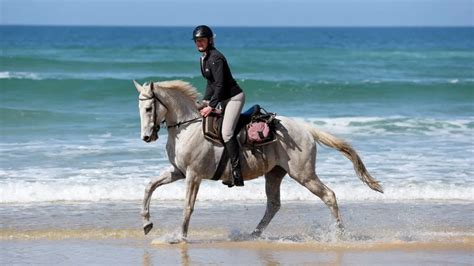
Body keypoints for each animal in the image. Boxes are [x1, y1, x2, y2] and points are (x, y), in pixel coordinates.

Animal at [132, 79, 382, 241]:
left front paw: (180, 236)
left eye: (148, 108)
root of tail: (306, 129)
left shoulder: (193, 175)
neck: (187, 127)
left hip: (303, 174)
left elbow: (187, 206)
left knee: (329, 196)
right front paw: (146, 223)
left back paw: (339, 234)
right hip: (275, 174)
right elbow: (149, 186)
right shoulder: (179, 171)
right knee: (273, 205)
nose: (146, 137)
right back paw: (254, 234)